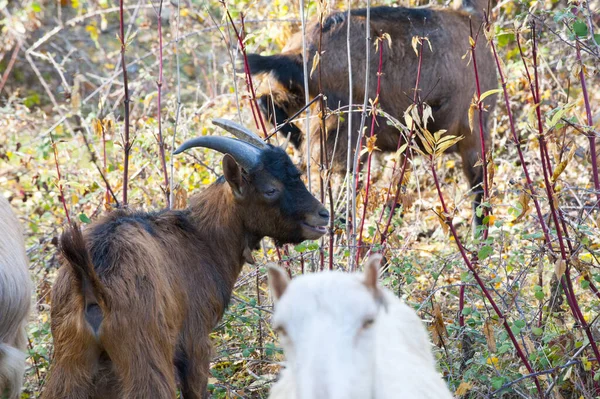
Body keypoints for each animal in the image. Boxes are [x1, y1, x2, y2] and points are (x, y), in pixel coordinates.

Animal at [42, 119, 328, 399]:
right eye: (270, 189)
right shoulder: (195, 340)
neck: (200, 238)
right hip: (144, 352)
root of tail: (91, 282)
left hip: (70, 361)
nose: (322, 215)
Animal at [247, 0, 496, 225]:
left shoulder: (407, 145)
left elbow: (398, 190)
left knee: (267, 103)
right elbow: (479, 190)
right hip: (347, 128)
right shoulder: (474, 129)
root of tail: (299, 54)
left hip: (299, 95)